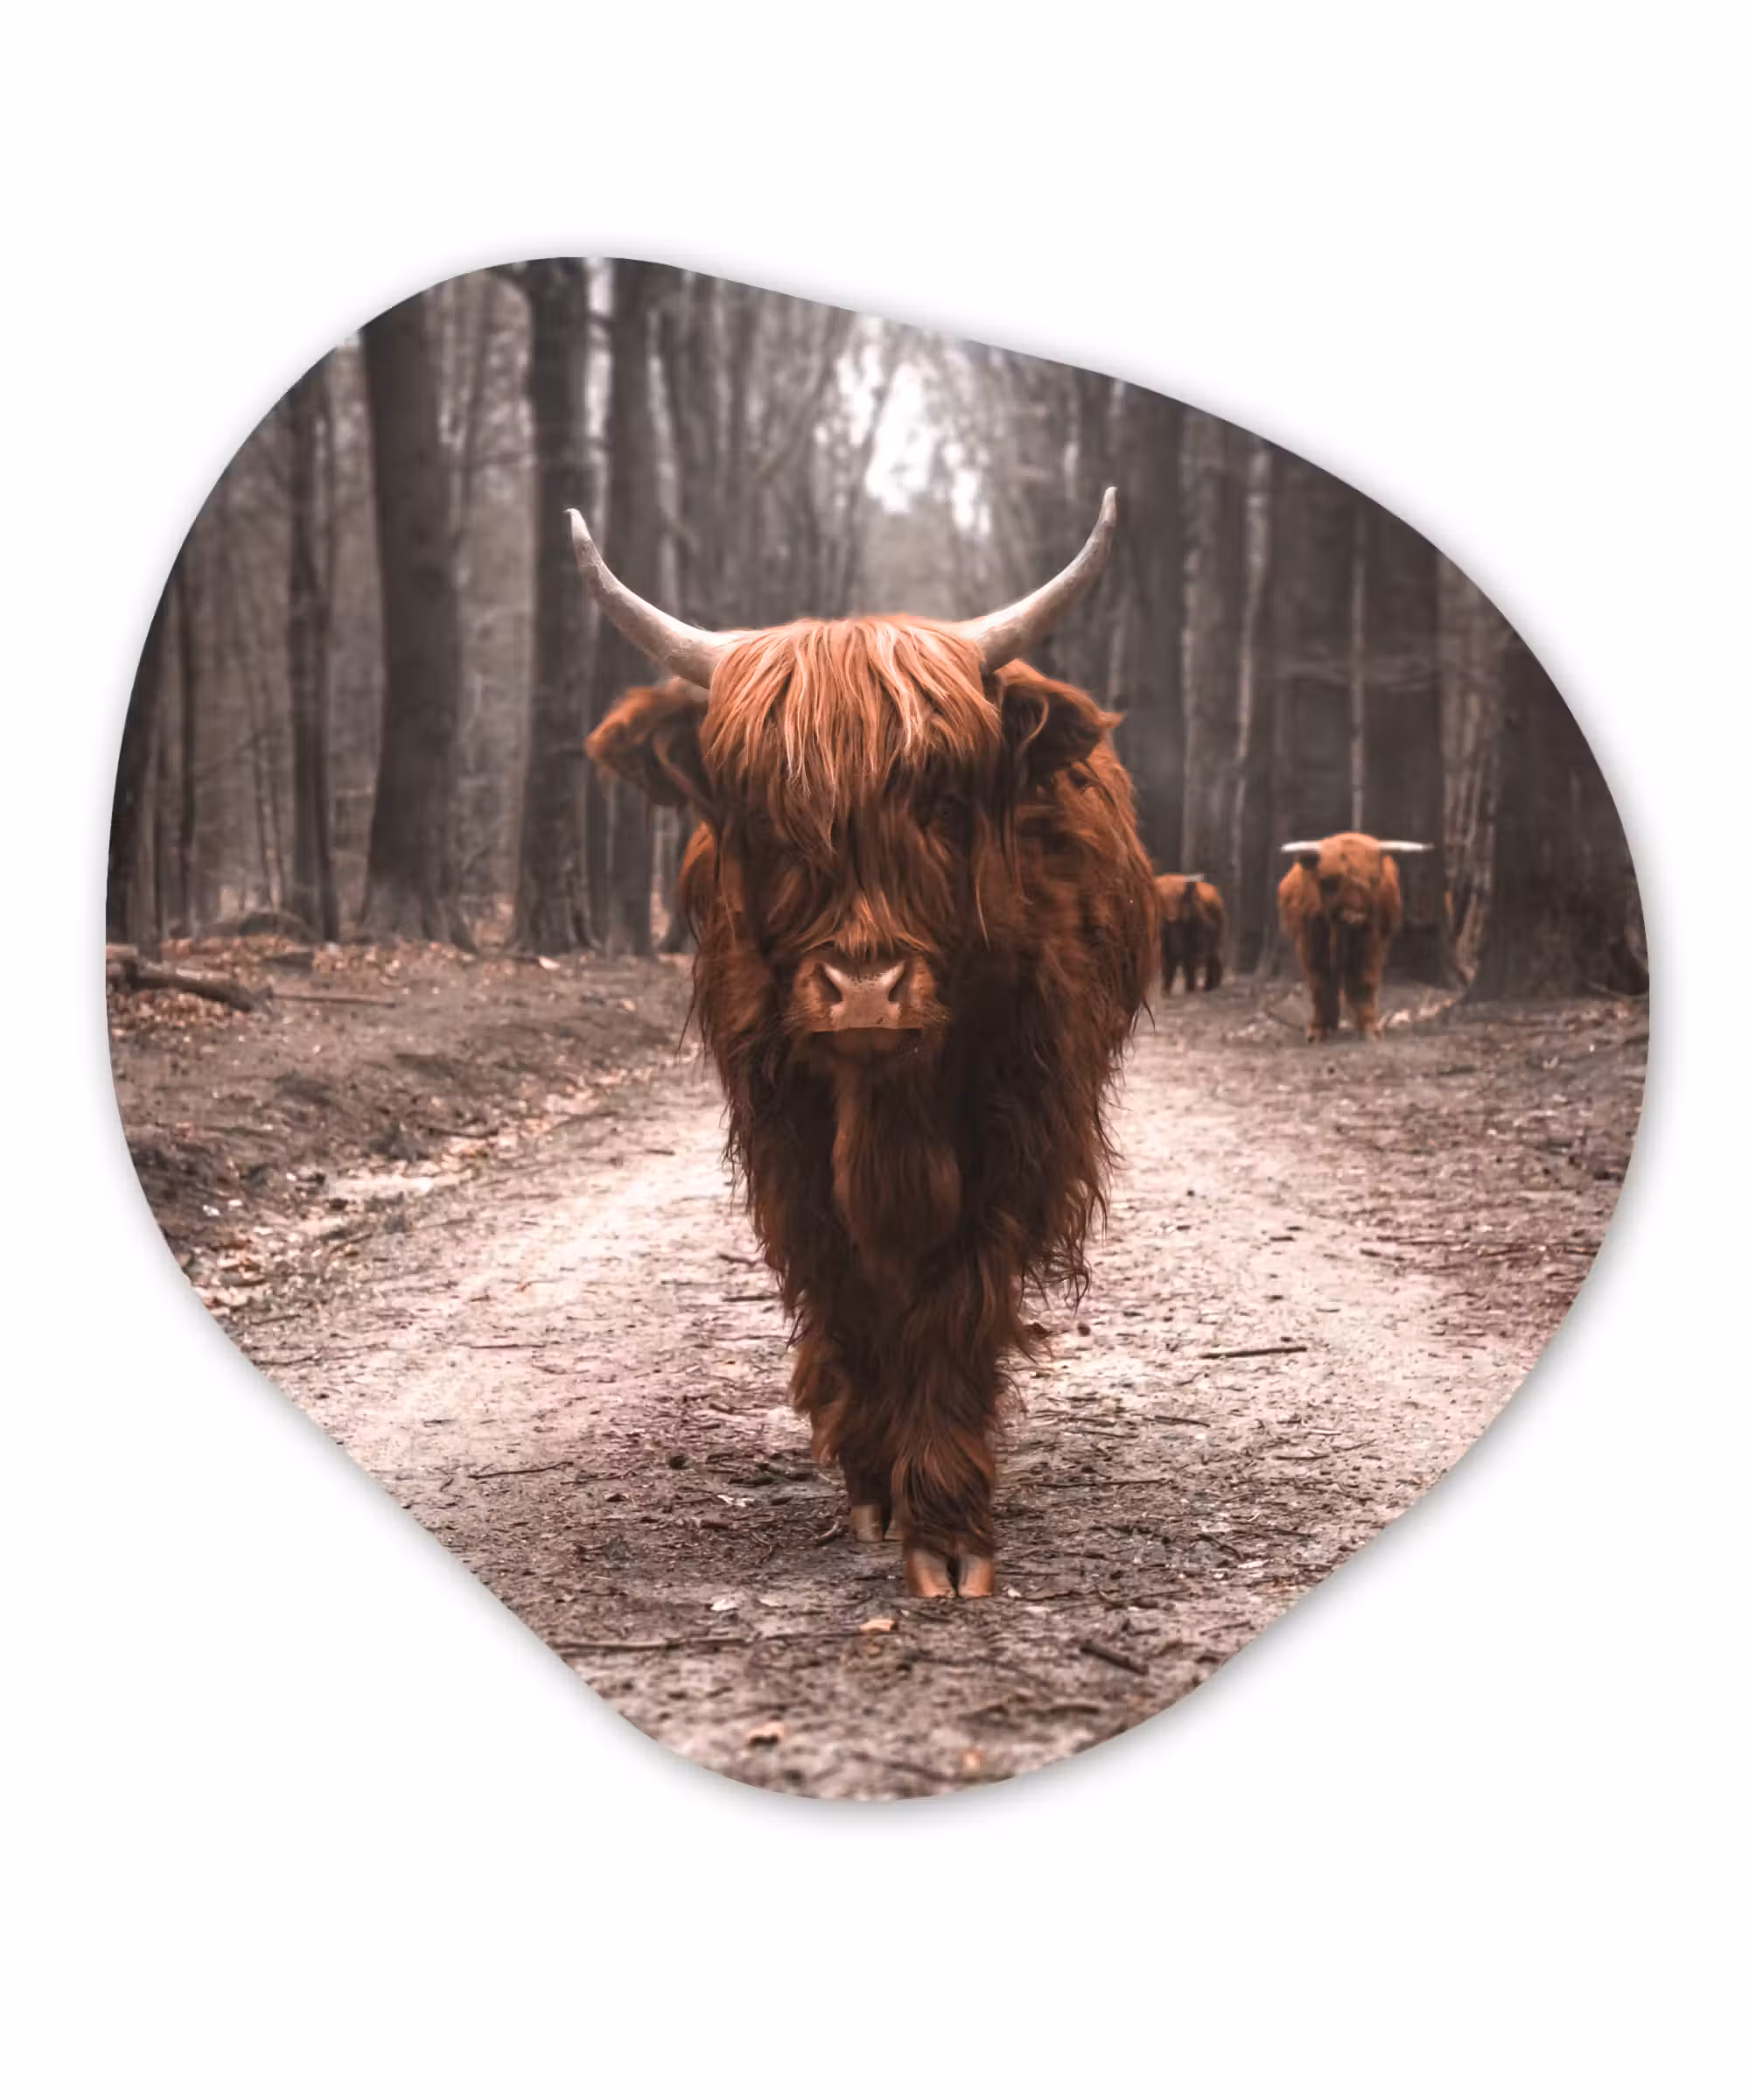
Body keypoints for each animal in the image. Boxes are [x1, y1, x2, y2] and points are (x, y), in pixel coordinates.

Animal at [575, 492, 1157, 1597]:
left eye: (940, 800)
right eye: (763, 815)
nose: (863, 992)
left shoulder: (1016, 1125)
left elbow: (954, 1298)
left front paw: (947, 1525)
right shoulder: (785, 1135)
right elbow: (846, 1286)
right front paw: (876, 1482)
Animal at [1155, 874, 1227, 993]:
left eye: (1180, 898)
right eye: (1162, 899)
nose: (1171, 918)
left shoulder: (1195, 932)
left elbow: (1189, 962)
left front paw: (1190, 990)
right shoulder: (1163, 938)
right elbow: (1166, 962)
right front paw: (1165, 992)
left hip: (1219, 929)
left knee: (1212, 956)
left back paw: (1210, 987)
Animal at [1276, 832, 1432, 1042]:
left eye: (1374, 880)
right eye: (1328, 881)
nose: (1354, 917)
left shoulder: (1371, 944)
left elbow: (1364, 982)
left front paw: (1369, 1029)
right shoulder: (1310, 944)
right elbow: (1320, 984)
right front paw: (1318, 1030)